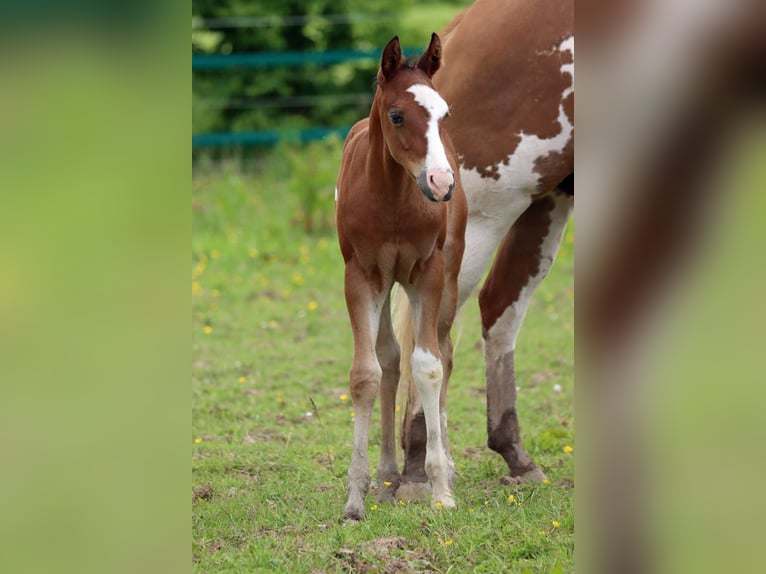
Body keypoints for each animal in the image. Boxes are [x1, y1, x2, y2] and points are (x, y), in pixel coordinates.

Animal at [335, 33, 467, 520]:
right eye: (397, 116)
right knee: (389, 358)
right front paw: (355, 496)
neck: (393, 196)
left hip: (449, 274)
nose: (441, 182)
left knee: (444, 352)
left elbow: (428, 366)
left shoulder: (428, 272)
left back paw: (443, 465)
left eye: (444, 115)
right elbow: (366, 373)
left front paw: (441, 489)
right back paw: (388, 474)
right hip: (385, 282)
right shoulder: (361, 276)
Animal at [395, 0, 574, 492]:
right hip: (485, 216)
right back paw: (419, 467)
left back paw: (510, 456)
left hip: (548, 198)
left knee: (497, 306)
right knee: (437, 332)